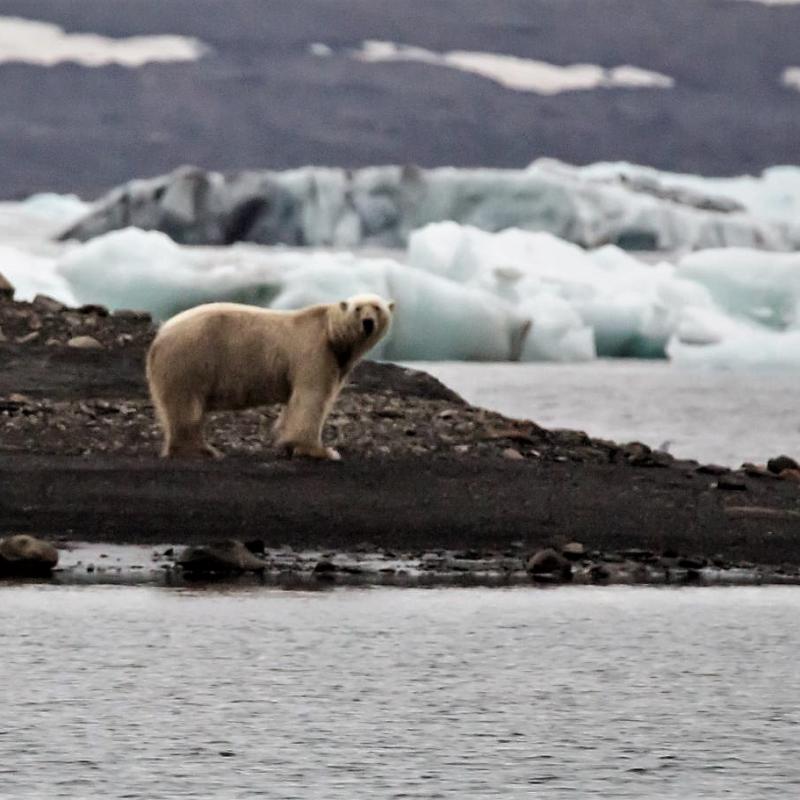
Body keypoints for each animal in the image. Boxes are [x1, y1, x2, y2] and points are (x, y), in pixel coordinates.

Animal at [146, 294, 394, 460]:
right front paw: (322, 451)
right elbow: (311, 398)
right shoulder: (315, 351)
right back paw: (201, 450)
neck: (332, 334)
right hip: (190, 357)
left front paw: (286, 442)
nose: (368, 322)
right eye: (357, 308)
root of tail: (160, 335)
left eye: (377, 308)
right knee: (187, 405)